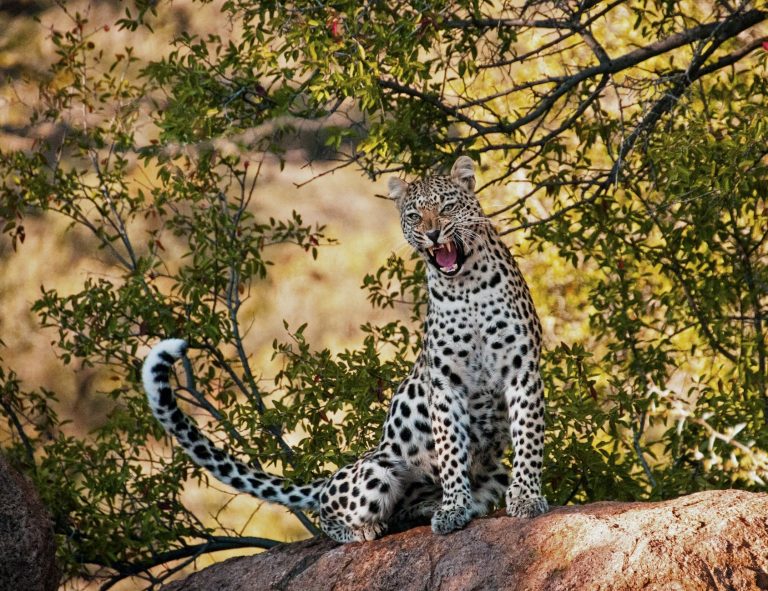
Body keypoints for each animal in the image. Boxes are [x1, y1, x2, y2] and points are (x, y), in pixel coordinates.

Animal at [142, 156, 548, 543]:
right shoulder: (446, 383)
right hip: (374, 472)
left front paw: (527, 497)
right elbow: (450, 450)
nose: (432, 234)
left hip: (493, 470)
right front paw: (453, 508)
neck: (466, 286)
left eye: (447, 206)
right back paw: (370, 528)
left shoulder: (521, 369)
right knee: (329, 515)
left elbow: (528, 439)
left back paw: (429, 509)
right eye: (414, 216)